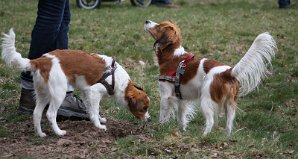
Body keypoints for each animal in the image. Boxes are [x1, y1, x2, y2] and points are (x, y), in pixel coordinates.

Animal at [1, 29, 150, 137]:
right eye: (143, 108)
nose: (149, 120)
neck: (116, 78)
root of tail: (42, 60)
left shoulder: (86, 93)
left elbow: (91, 110)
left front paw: (98, 120)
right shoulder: (94, 92)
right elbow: (95, 110)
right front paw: (99, 126)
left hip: (43, 94)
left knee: (36, 113)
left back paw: (40, 134)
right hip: (58, 93)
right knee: (50, 114)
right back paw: (59, 132)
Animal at [144, 20, 278, 136]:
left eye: (159, 27)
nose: (146, 21)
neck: (172, 55)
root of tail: (228, 72)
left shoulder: (165, 95)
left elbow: (163, 115)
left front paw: (159, 128)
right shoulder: (181, 98)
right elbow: (181, 117)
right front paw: (182, 131)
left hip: (206, 100)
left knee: (210, 122)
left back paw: (204, 136)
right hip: (229, 104)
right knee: (229, 124)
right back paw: (226, 137)